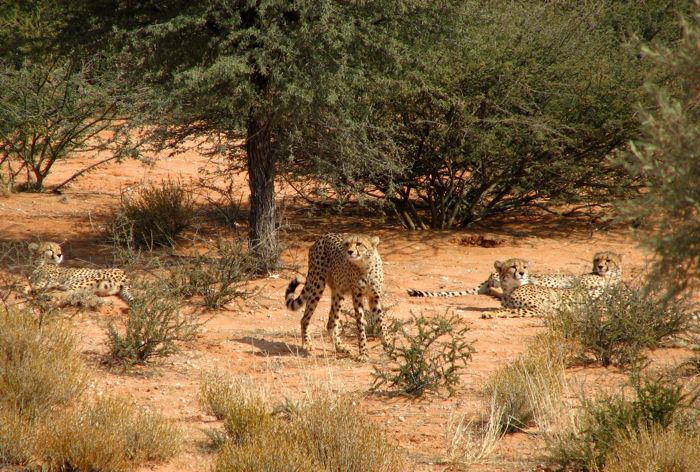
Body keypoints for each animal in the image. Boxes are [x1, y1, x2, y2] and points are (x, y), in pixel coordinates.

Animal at [284, 233, 388, 362]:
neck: (365, 266)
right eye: (347, 244)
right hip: (317, 284)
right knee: (305, 319)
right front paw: (363, 353)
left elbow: (382, 323)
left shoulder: (375, 298)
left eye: (359, 244)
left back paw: (340, 347)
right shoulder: (357, 297)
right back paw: (307, 343)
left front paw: (390, 346)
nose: (349, 252)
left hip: (338, 292)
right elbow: (361, 326)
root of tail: (321, 237)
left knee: (331, 323)